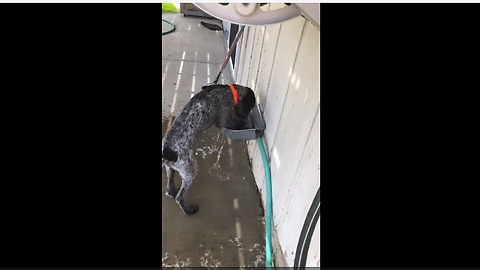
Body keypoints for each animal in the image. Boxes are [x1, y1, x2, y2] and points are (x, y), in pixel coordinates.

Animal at [162, 84, 255, 215]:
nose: (246, 119)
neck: (227, 90)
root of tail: (167, 151)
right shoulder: (223, 121)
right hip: (190, 170)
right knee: (180, 197)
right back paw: (188, 210)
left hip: (170, 168)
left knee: (170, 186)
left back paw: (173, 192)